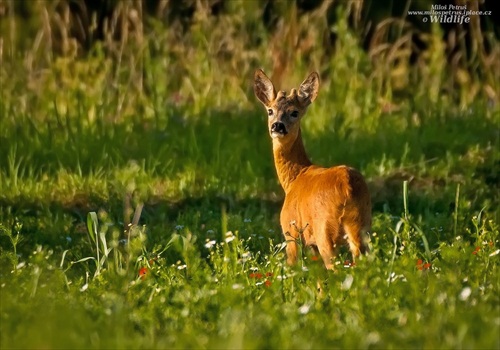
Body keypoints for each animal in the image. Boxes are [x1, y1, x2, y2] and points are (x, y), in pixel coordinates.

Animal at [254, 69, 372, 270]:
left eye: (294, 112)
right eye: (270, 111)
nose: (277, 126)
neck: (294, 178)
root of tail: (348, 187)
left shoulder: (290, 228)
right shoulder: (312, 244)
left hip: (324, 229)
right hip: (362, 224)